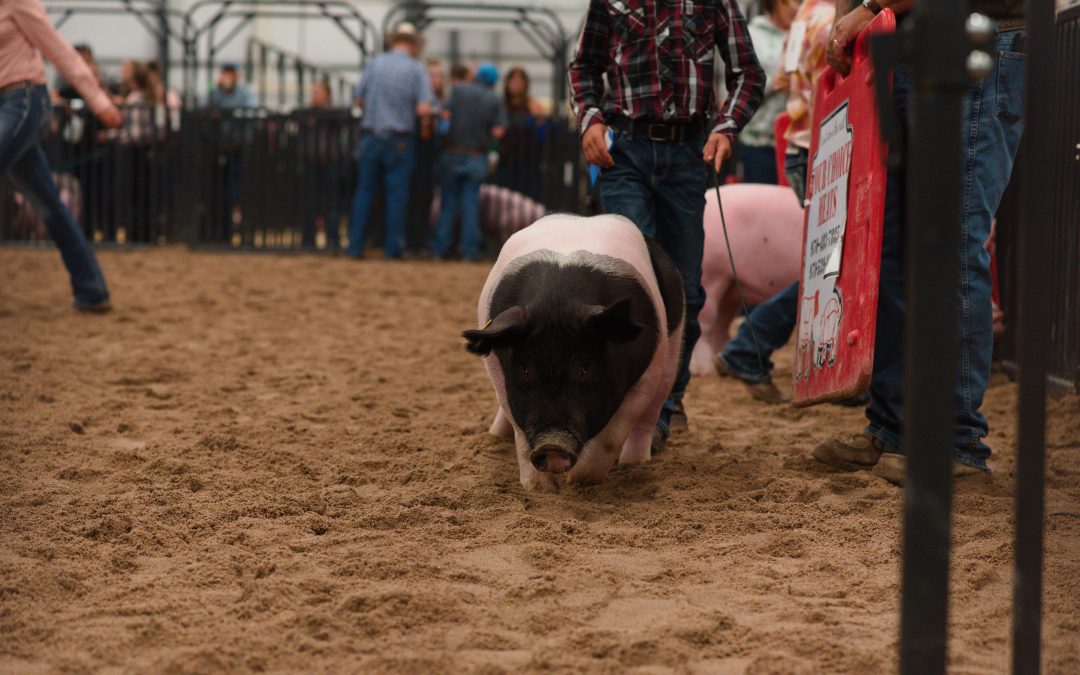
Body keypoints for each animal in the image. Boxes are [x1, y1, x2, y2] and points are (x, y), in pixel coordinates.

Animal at [463, 214, 685, 491]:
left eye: (585, 367)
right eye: (525, 368)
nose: (552, 444)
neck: (557, 301)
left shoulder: (647, 373)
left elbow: (614, 433)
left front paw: (579, 482)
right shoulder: (498, 373)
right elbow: (520, 432)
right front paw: (539, 488)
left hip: (672, 348)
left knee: (650, 414)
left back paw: (635, 462)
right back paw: (495, 435)